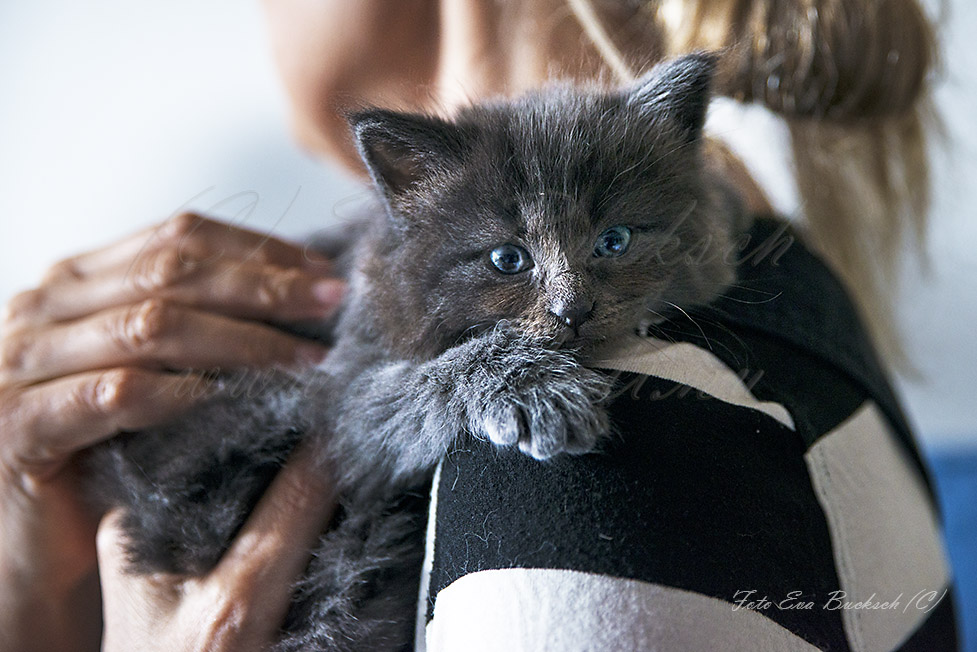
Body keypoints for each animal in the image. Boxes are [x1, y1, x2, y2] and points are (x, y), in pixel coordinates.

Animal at [86, 53, 740, 648]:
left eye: (615, 241)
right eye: (507, 259)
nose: (572, 312)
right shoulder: (337, 401)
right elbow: (412, 386)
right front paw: (534, 387)